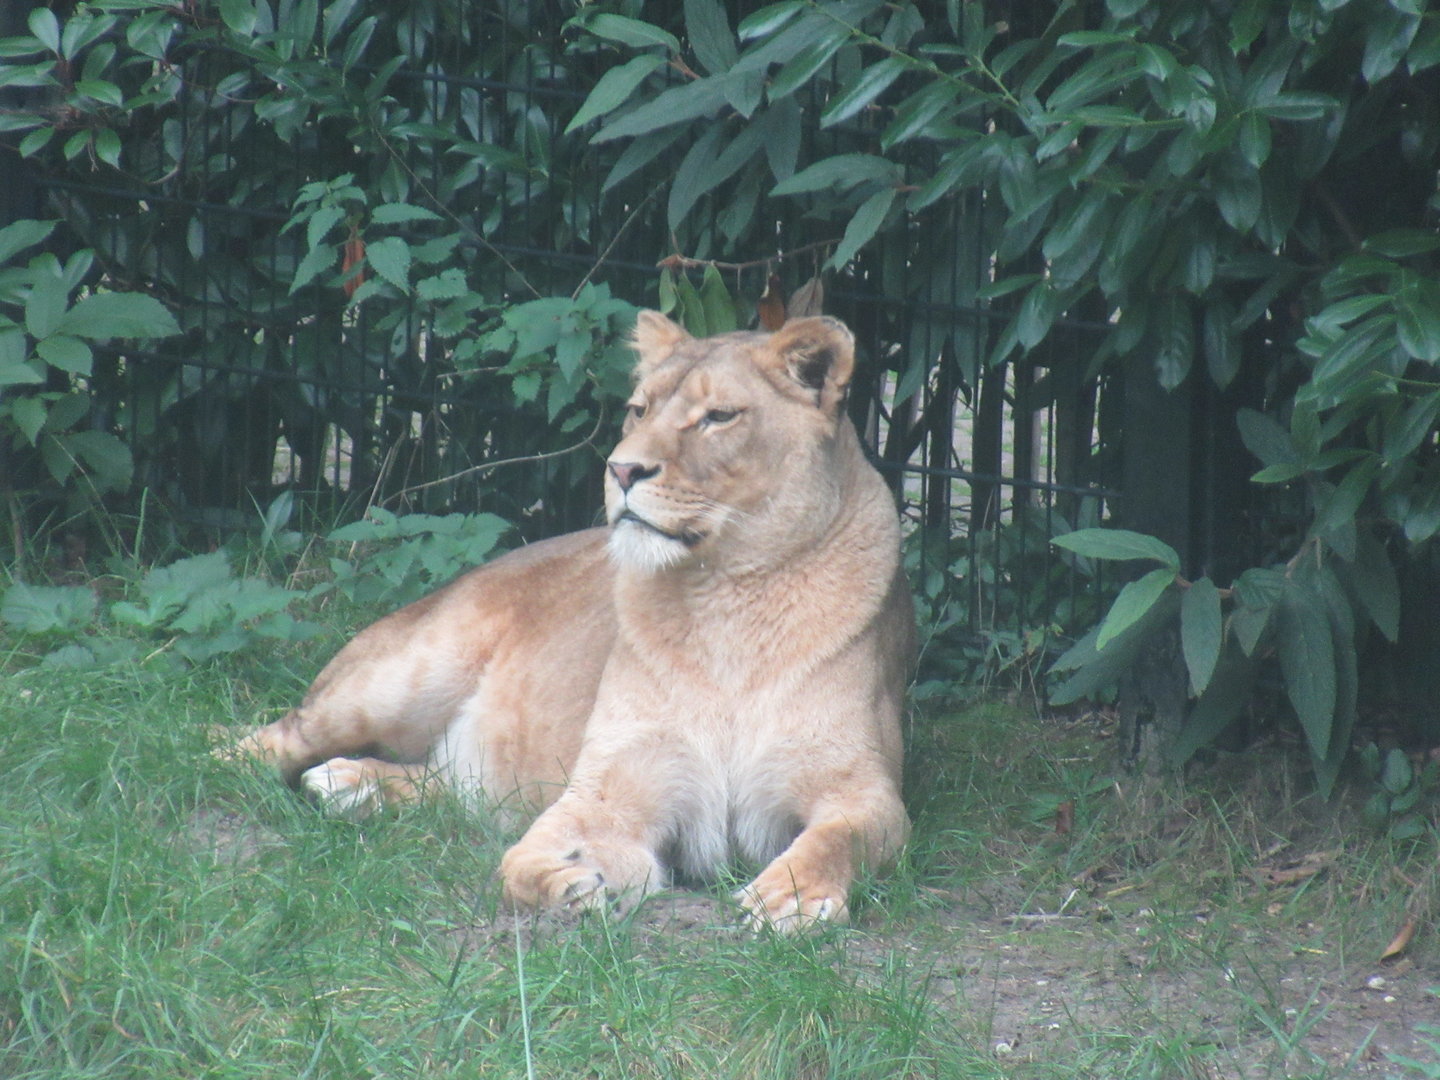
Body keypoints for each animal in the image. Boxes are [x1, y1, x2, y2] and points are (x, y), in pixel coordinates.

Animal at [230, 312, 914, 930]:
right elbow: (522, 863)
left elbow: (840, 839)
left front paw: (791, 897)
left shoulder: (865, 790)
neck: (725, 599)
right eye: (639, 410)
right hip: (399, 678)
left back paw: (351, 784)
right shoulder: (610, 783)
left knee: (452, 785)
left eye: (719, 417)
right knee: (271, 739)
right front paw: (571, 877)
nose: (623, 469)